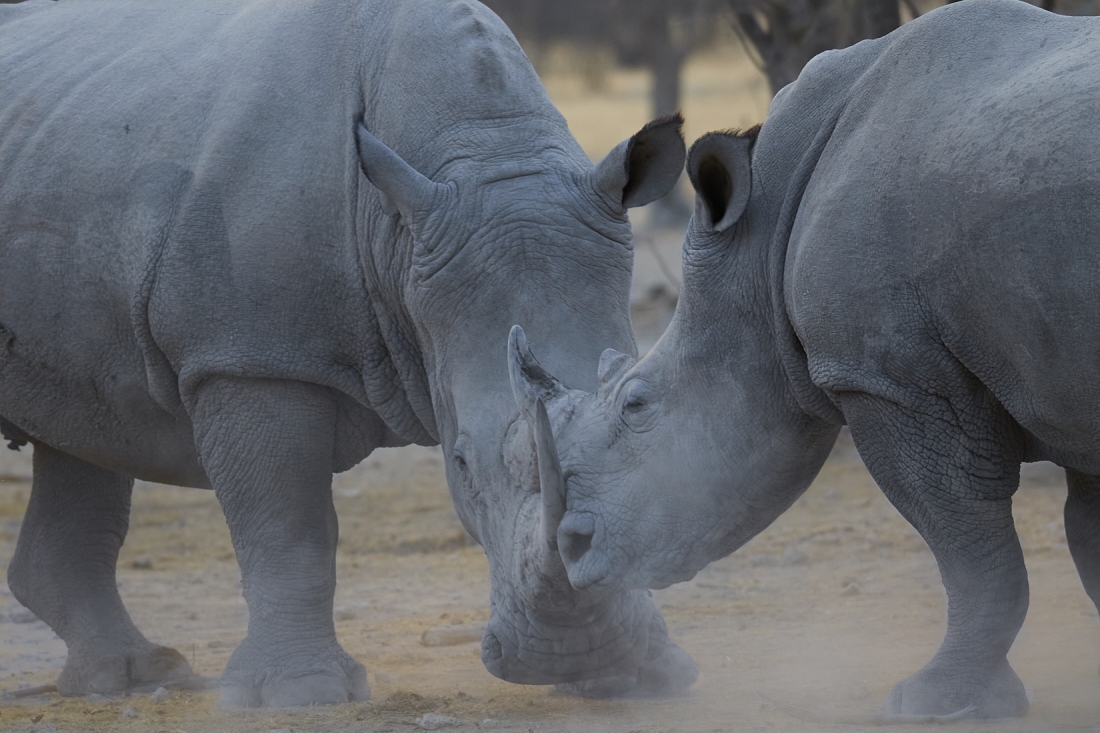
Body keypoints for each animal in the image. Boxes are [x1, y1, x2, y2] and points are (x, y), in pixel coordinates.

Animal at [0, 0, 698, 707]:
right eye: (460, 463)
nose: (573, 655)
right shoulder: (250, 355)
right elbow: (289, 527)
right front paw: (303, 692)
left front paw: (640, 674)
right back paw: (137, 677)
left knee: (83, 432)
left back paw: (132, 677)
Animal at [510, 0, 1100, 719]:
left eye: (637, 402)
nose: (574, 547)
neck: (760, 240)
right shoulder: (1060, 374)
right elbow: (1083, 535)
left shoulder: (889, 380)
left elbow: (966, 544)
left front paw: (933, 703)